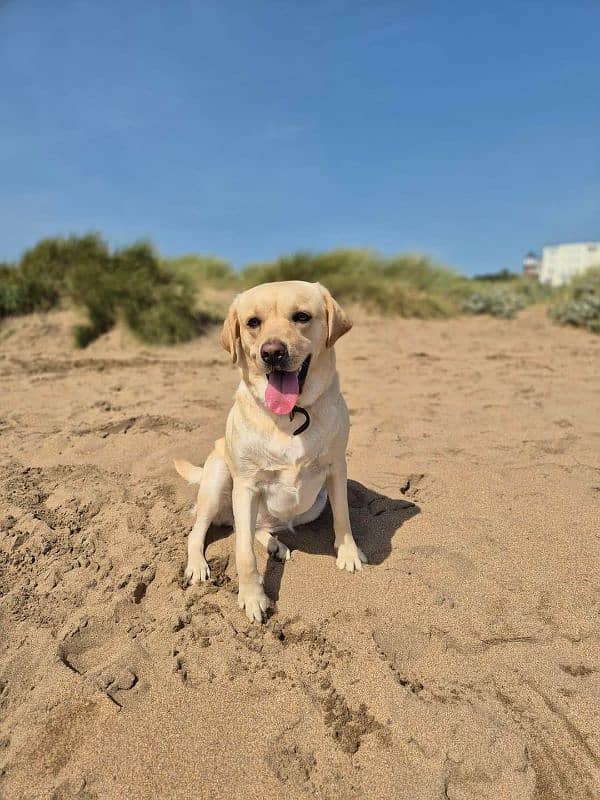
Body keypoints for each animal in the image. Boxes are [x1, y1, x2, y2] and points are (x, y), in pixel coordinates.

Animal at [171, 282, 364, 624]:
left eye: (302, 316)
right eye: (252, 323)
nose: (272, 352)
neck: (291, 415)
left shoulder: (336, 468)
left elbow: (343, 517)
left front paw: (349, 553)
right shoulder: (246, 485)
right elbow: (244, 554)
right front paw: (252, 597)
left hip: (314, 504)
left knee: (251, 528)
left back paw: (275, 545)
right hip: (218, 479)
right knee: (204, 532)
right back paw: (197, 565)